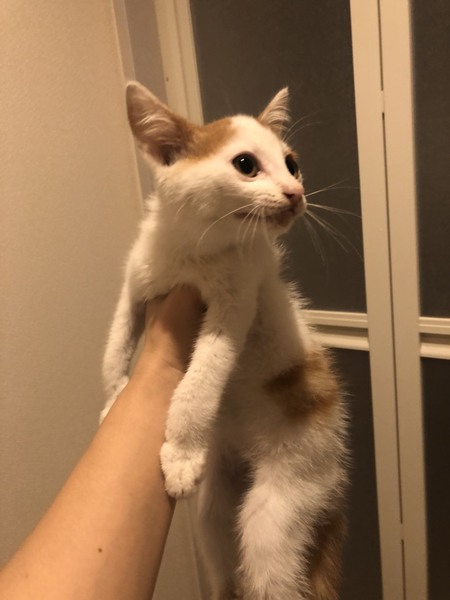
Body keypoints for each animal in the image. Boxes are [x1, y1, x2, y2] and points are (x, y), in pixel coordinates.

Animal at [101, 81, 348, 600]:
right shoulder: (137, 280)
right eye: (246, 164)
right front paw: (113, 402)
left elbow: (200, 381)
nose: (296, 193)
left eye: (292, 163)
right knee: (222, 561)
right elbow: (115, 346)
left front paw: (180, 451)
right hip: (215, 511)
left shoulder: (234, 304)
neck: (192, 249)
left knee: (270, 566)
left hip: (283, 504)